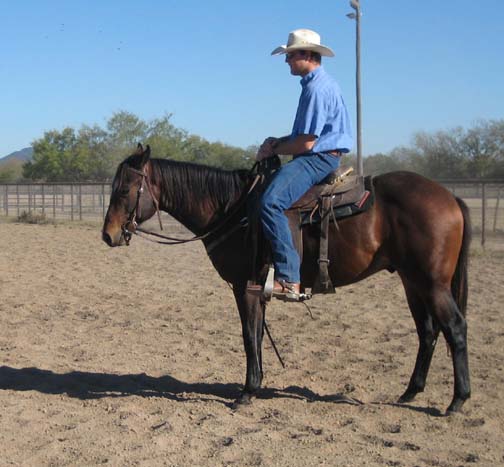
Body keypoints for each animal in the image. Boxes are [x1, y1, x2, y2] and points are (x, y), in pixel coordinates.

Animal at [100, 144, 470, 414]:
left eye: (126, 188)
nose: (108, 235)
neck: (233, 210)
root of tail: (449, 197)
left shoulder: (244, 288)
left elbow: (249, 336)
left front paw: (246, 392)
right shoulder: (257, 288)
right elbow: (258, 335)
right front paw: (256, 384)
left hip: (432, 284)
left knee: (454, 328)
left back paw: (457, 401)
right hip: (412, 282)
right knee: (427, 332)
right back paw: (411, 392)